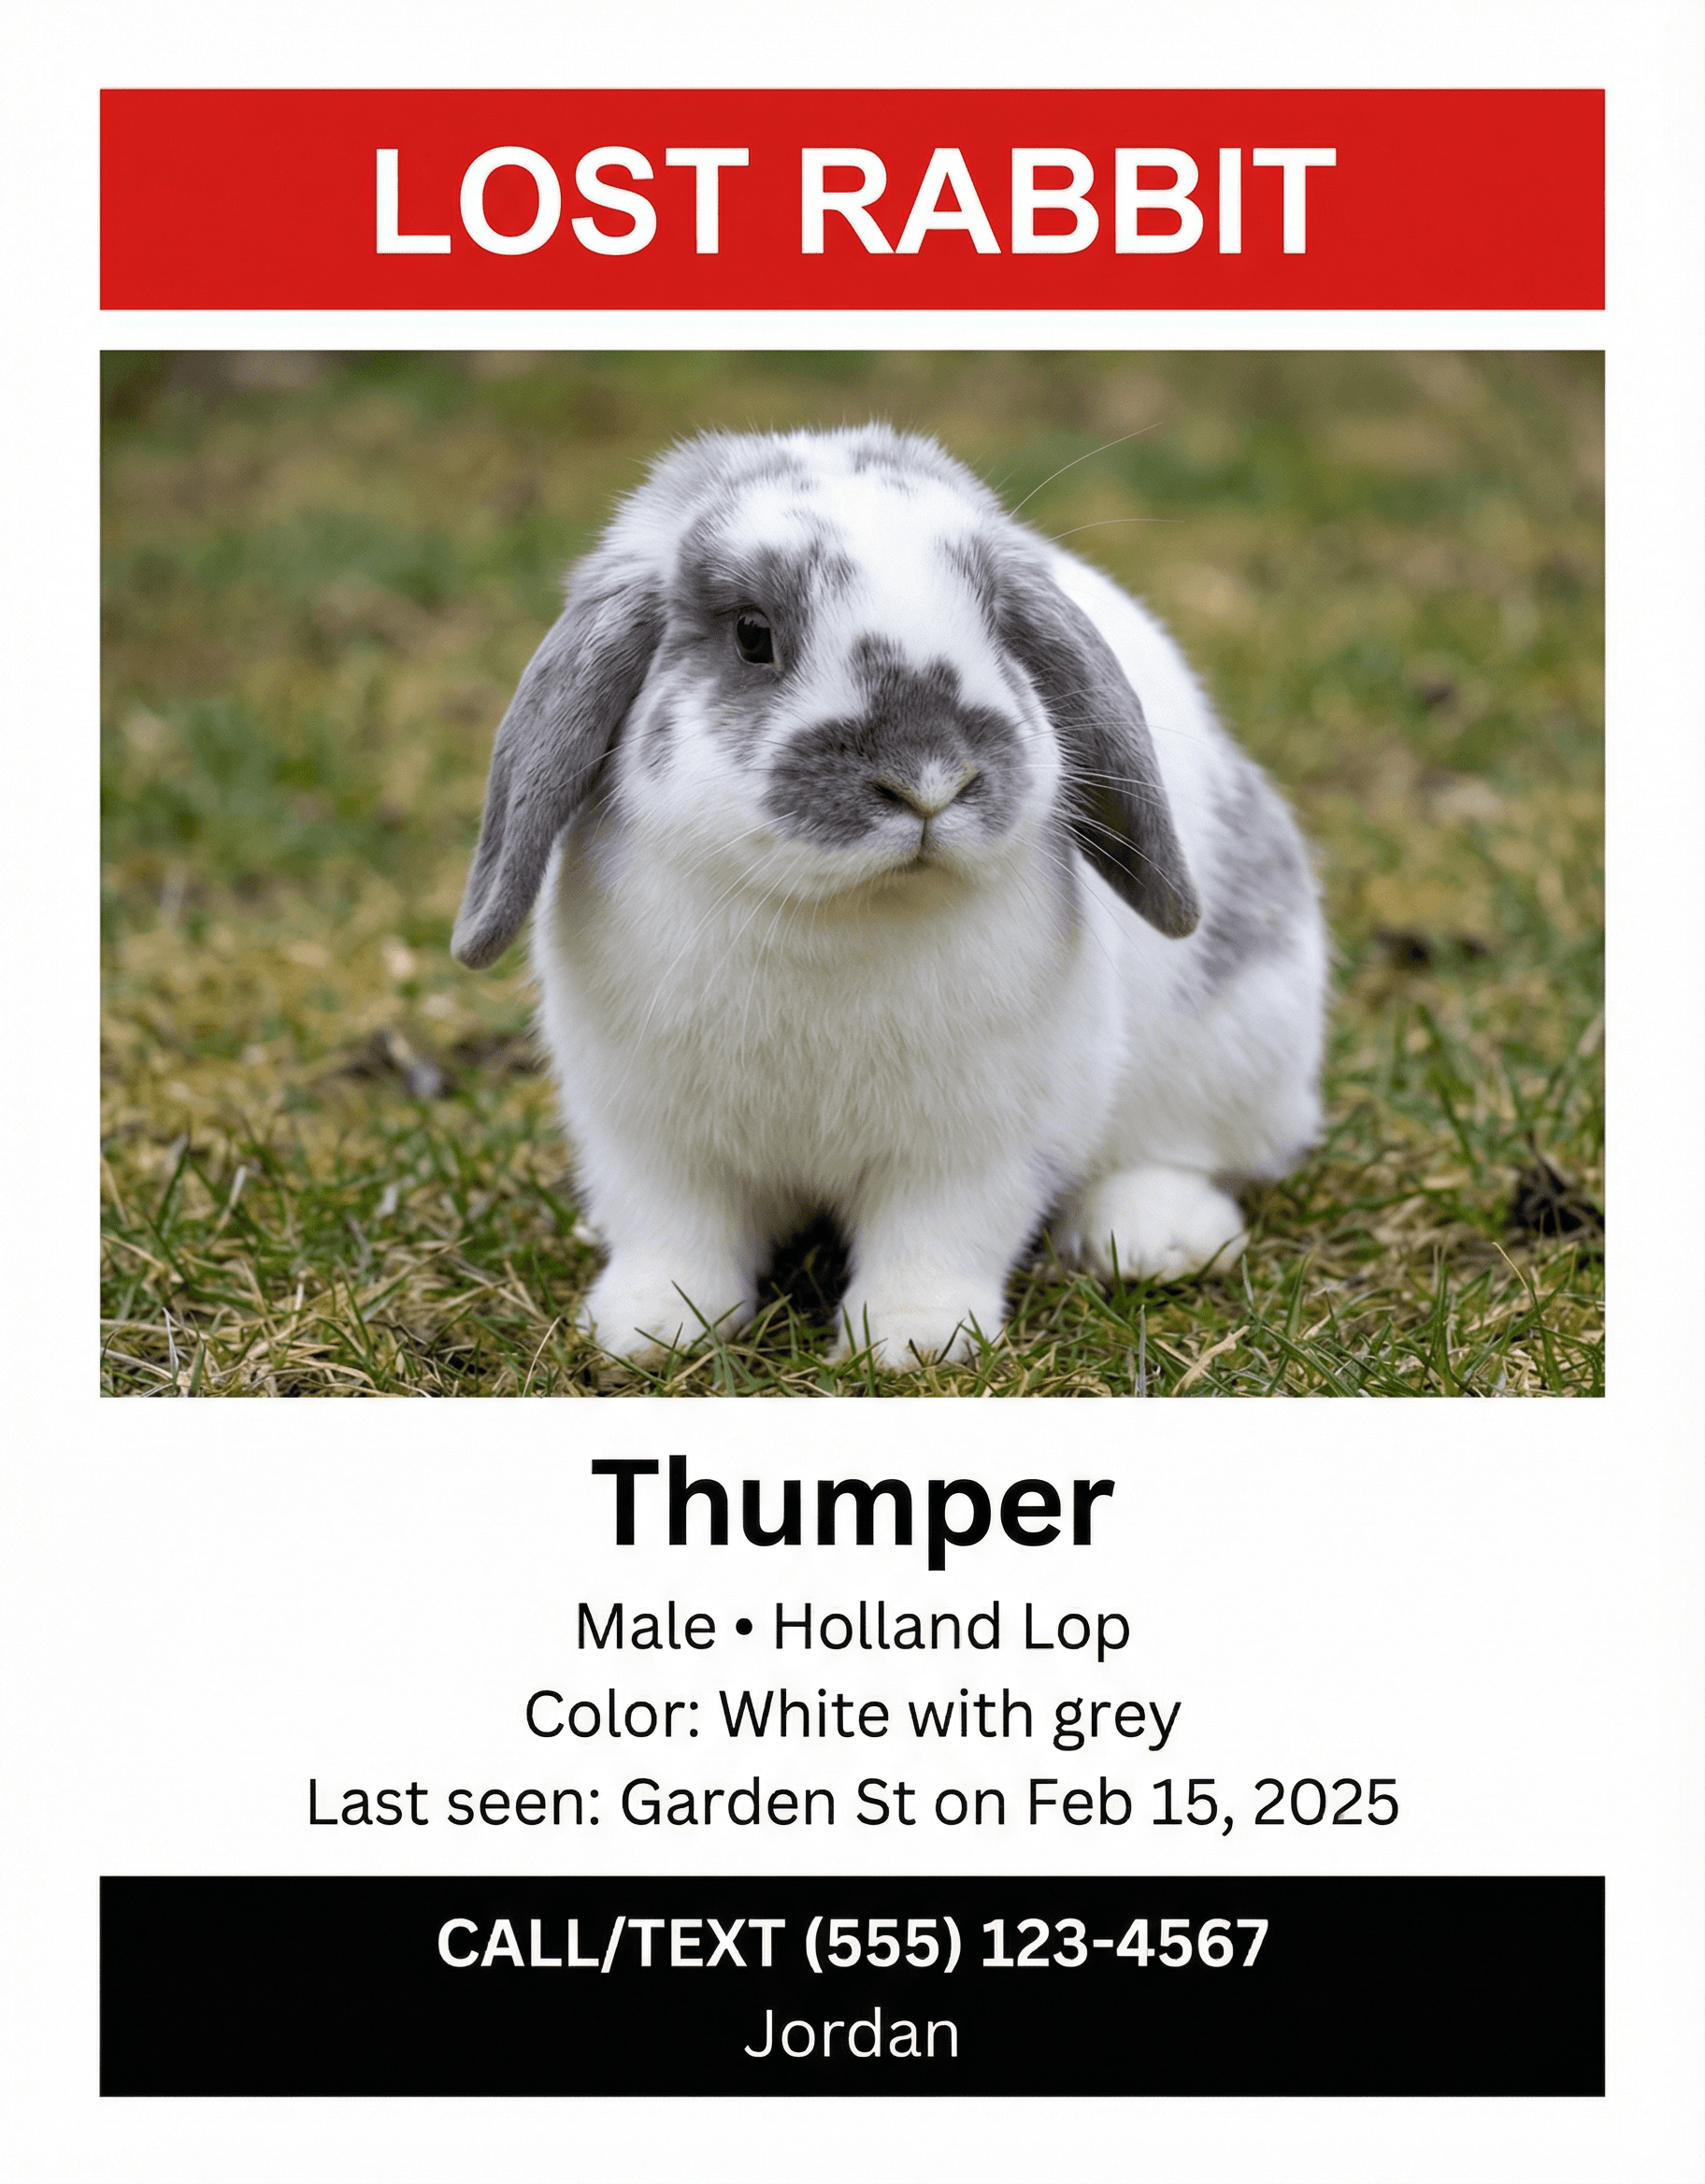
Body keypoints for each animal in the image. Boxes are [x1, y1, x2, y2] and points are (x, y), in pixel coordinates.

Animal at [452, 423, 1326, 1368]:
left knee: (1190, 1150)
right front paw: (651, 1328)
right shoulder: (647, 1135)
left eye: (998, 625)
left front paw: (912, 1342)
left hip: (1239, 1040)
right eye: (753, 635)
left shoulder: (974, 1143)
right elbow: (675, 1232)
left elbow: (939, 1236)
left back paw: (1155, 1237)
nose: (929, 779)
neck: (838, 916)